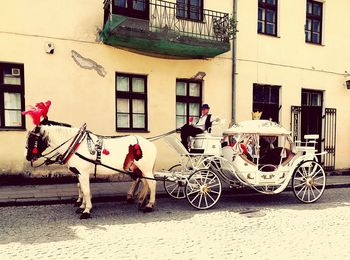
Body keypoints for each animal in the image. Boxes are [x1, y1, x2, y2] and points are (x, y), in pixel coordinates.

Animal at [27, 121, 157, 218]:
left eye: (33, 139)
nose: (27, 156)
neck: (76, 145)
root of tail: (150, 144)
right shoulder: (79, 173)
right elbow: (82, 189)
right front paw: (82, 206)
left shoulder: (83, 173)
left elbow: (86, 190)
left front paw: (86, 210)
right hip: (136, 168)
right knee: (144, 181)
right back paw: (141, 201)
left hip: (145, 168)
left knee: (152, 183)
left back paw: (149, 205)